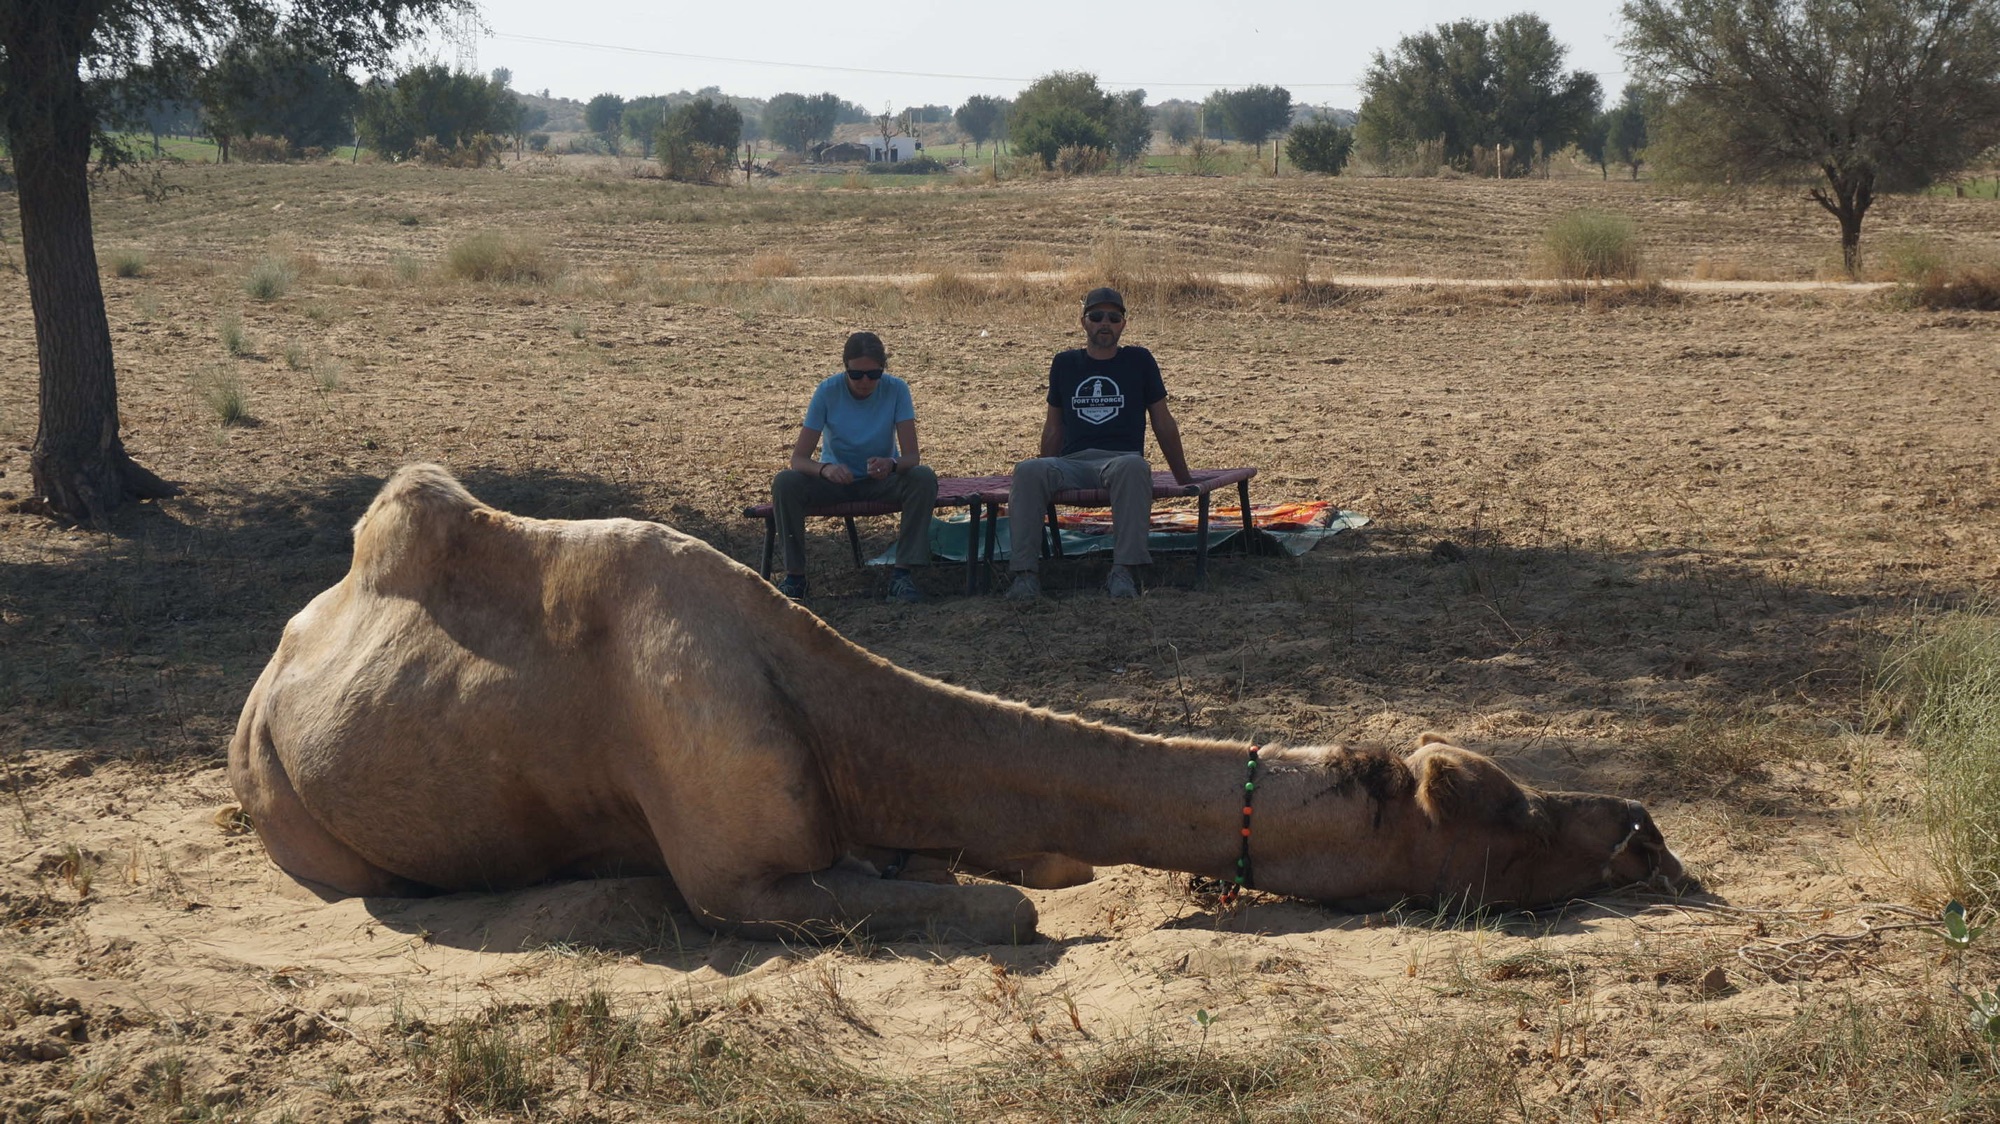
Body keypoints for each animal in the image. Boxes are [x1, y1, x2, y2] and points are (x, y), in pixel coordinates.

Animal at [229, 464, 1685, 943]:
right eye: (1496, 808)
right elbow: (1013, 909)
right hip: (280, 802)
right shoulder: (739, 877)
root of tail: (265, 677)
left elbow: (1012, 859)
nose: (1643, 829)